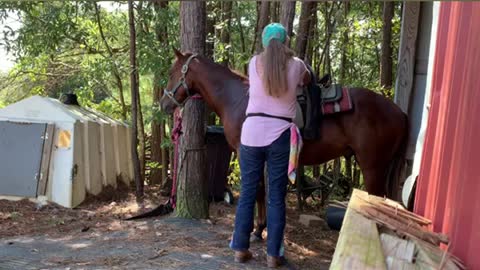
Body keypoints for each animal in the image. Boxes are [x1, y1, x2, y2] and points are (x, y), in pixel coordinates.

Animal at [159, 49, 406, 239]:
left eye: (171, 73)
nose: (163, 104)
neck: (239, 100)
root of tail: (399, 112)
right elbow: (261, 191)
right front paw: (260, 229)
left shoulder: (247, 152)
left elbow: (258, 190)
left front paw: (256, 230)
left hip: (372, 167)